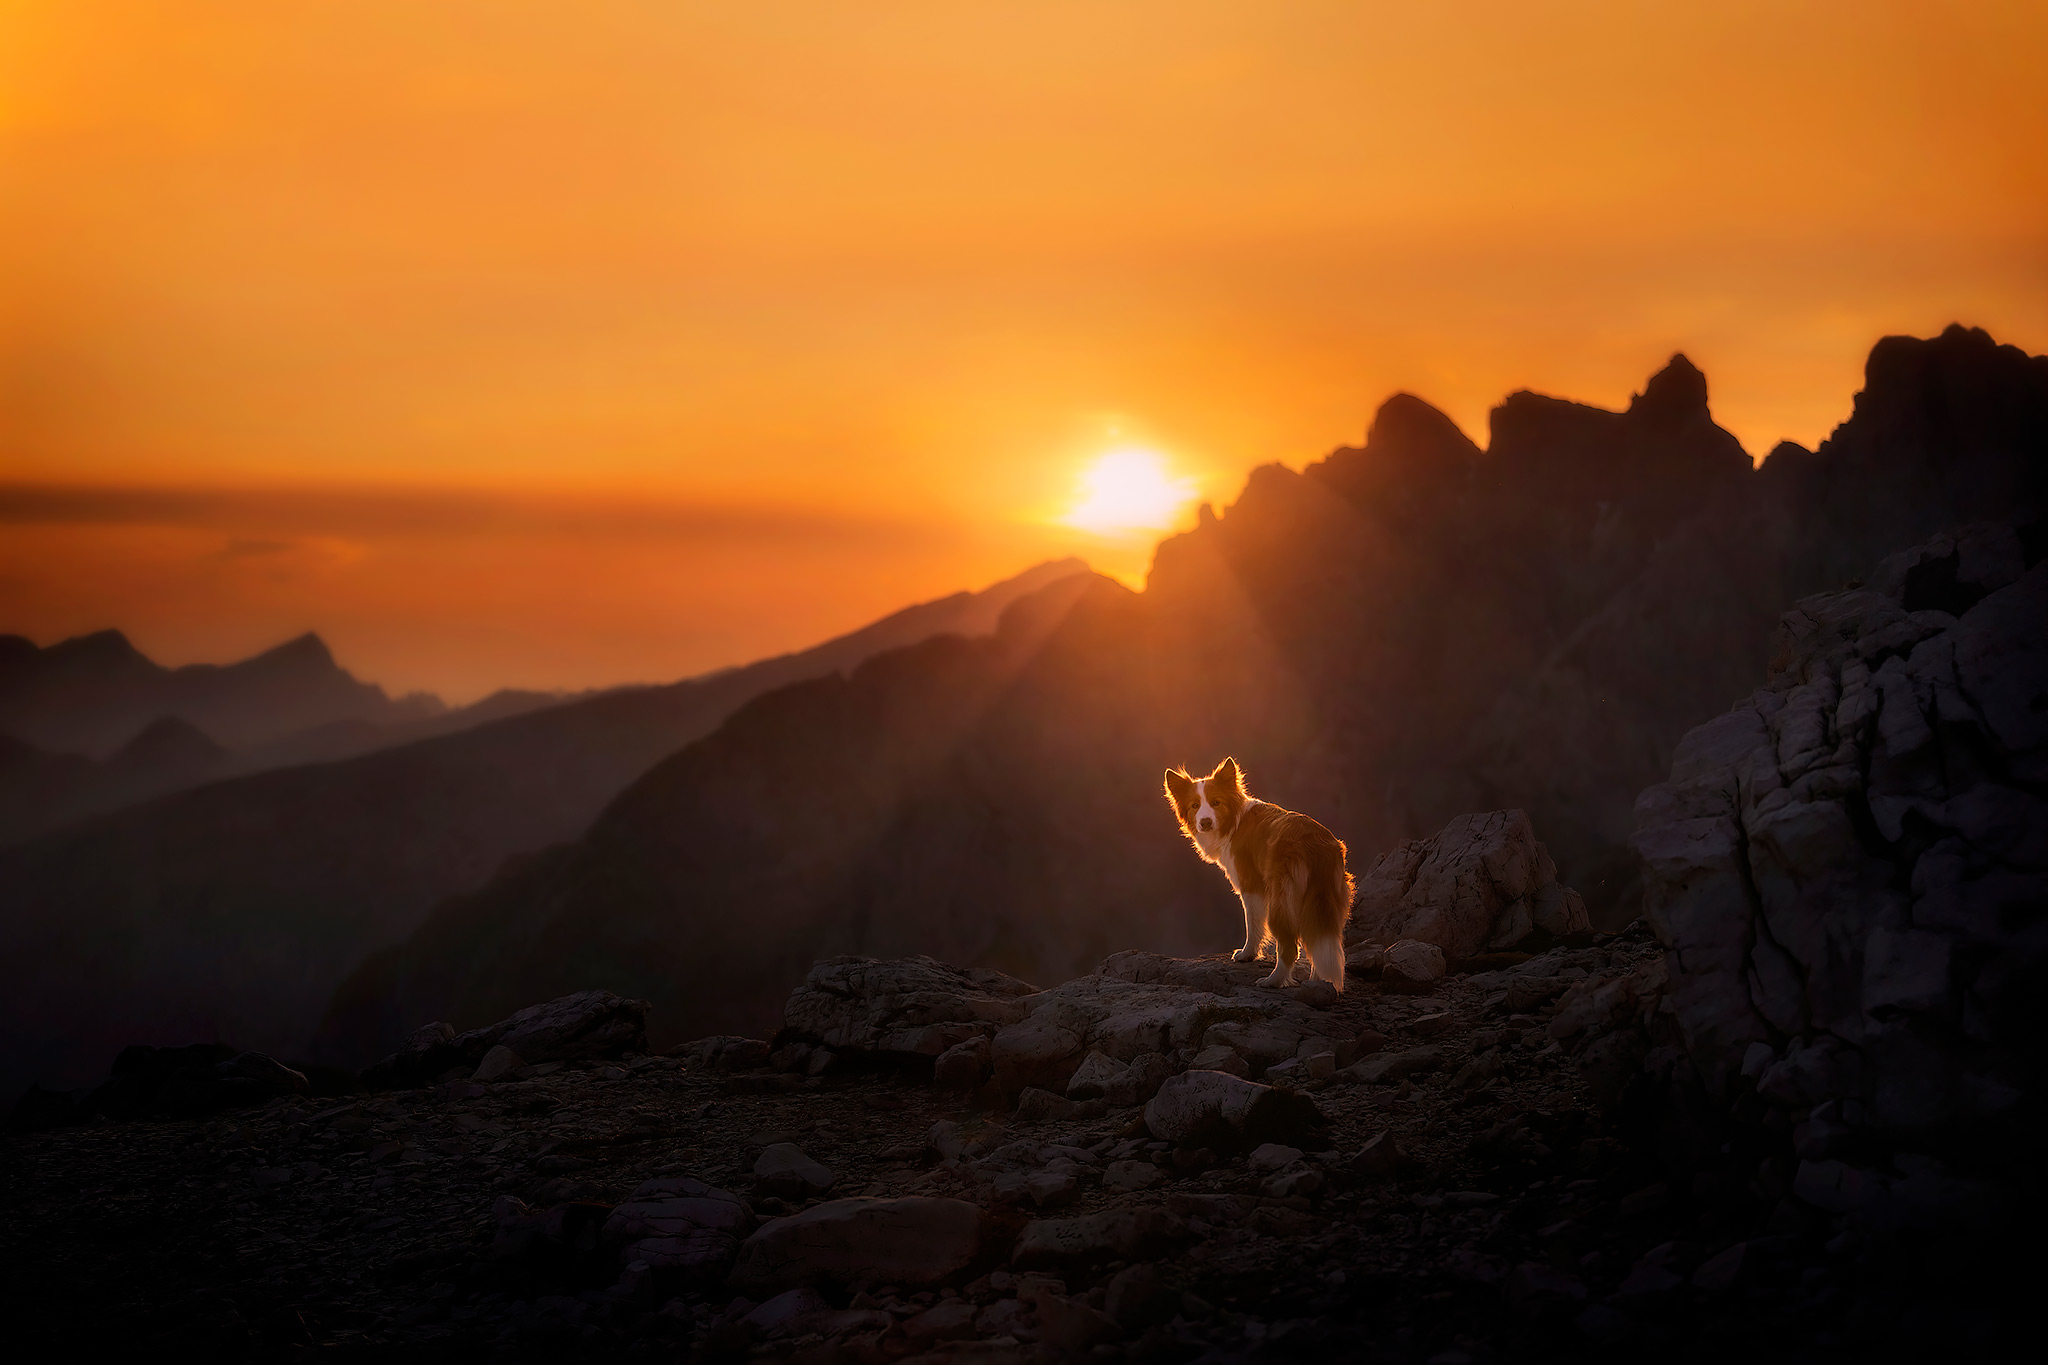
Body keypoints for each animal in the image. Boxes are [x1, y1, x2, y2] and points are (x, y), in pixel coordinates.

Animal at [1163, 757, 1351, 994]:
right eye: (1194, 805)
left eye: (1216, 802)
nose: (1205, 822)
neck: (1233, 822)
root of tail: (1316, 846)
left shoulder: (1251, 885)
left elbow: (1252, 924)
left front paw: (1247, 954)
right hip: (1326, 901)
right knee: (1317, 941)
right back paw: (1316, 983)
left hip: (1281, 900)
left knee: (1290, 947)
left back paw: (1273, 981)